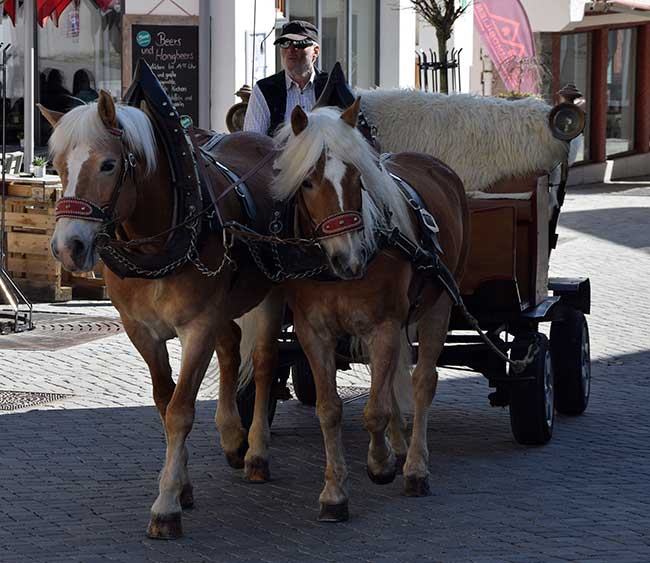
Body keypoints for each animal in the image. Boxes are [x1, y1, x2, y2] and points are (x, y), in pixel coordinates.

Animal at [37, 93, 276, 540]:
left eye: (108, 165)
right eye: (57, 165)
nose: (67, 248)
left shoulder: (197, 328)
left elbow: (181, 411)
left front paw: (166, 506)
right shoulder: (140, 331)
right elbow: (165, 404)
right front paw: (181, 486)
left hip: (271, 295)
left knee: (266, 364)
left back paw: (256, 452)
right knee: (231, 350)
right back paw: (232, 435)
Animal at [235, 99, 468, 524]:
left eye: (358, 177)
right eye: (307, 182)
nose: (349, 260)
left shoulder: (385, 326)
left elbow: (374, 410)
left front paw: (380, 464)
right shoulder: (314, 332)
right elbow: (330, 409)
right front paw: (334, 494)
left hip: (439, 304)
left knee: (423, 381)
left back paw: (414, 467)